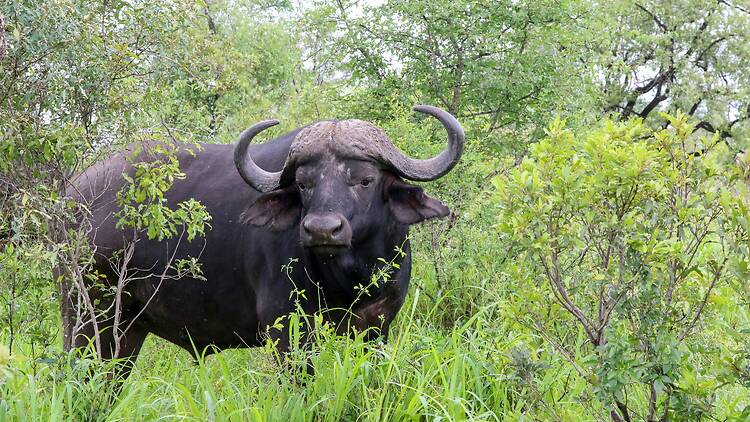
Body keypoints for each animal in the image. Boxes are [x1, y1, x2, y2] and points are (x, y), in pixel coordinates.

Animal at [62, 105, 464, 376]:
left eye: (365, 179)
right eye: (303, 183)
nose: (321, 229)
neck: (350, 276)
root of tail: (72, 196)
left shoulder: (377, 328)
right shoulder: (286, 330)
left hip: (127, 331)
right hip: (86, 318)